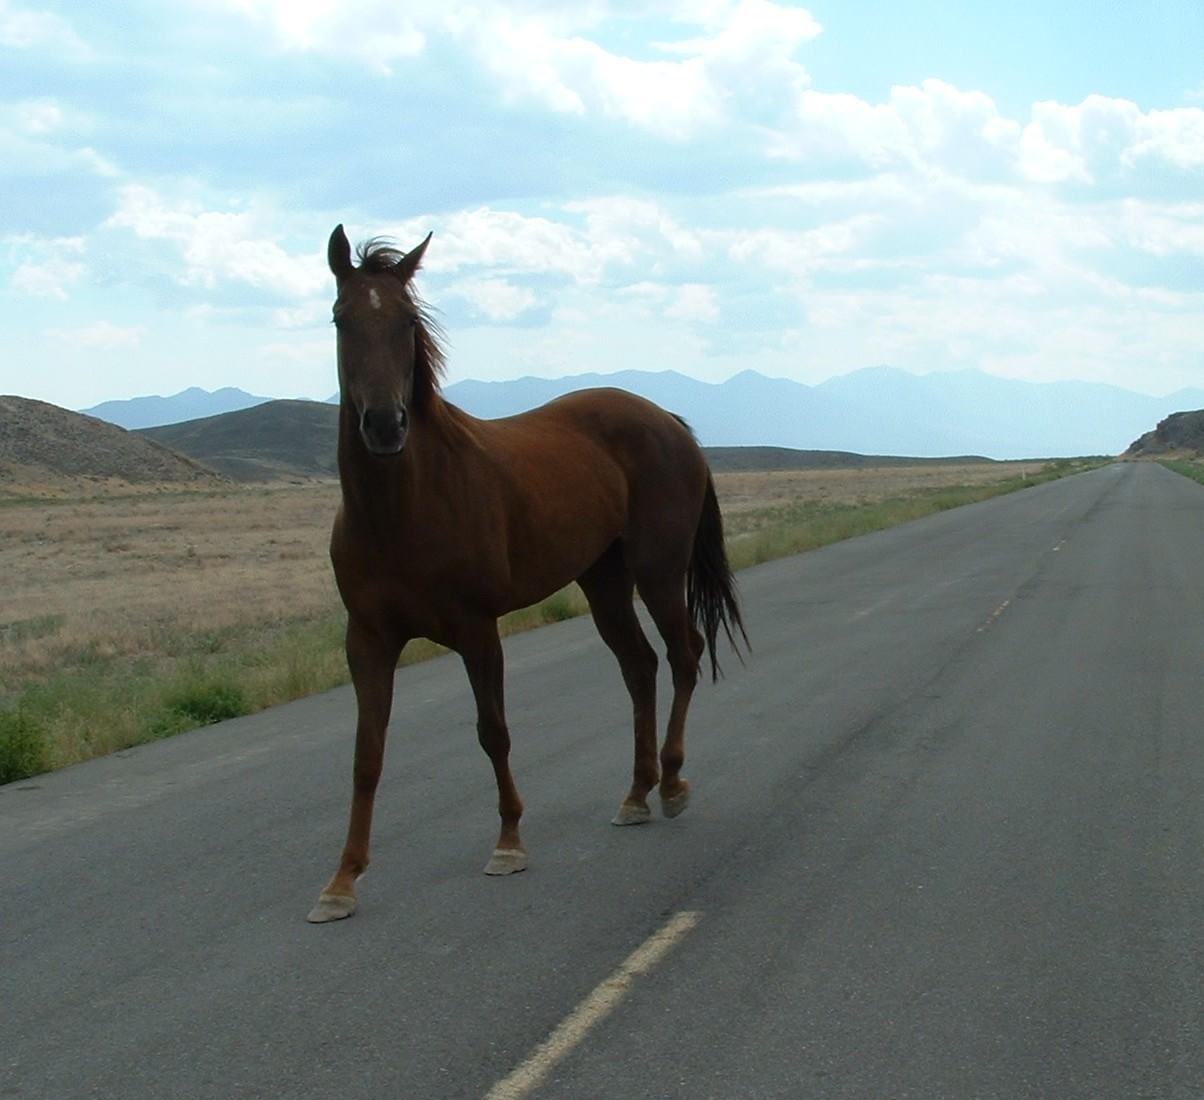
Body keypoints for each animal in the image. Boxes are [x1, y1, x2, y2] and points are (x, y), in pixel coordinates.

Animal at [308, 222, 741, 919]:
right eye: (342, 318)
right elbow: (366, 757)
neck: (401, 509)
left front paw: (509, 841)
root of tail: (668, 422)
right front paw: (343, 879)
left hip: (657, 572)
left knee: (684, 654)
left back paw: (673, 781)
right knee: (639, 666)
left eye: (406, 322)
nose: (385, 425)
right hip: (604, 582)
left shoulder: (477, 630)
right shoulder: (367, 641)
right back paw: (637, 793)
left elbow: (494, 732)